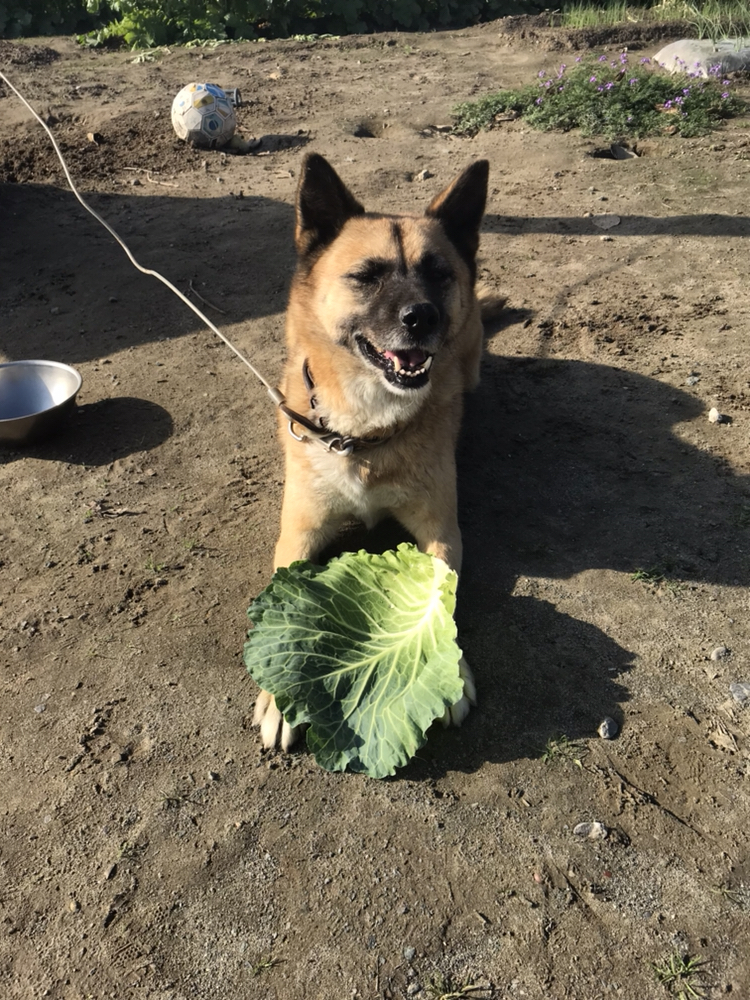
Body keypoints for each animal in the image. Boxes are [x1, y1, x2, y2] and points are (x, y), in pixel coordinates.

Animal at [253, 152, 500, 752]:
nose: (422, 317)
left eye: (438, 272)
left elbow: (441, 601)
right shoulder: (297, 536)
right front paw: (279, 696)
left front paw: (447, 671)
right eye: (366, 276)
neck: (364, 431)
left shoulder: (443, 535)